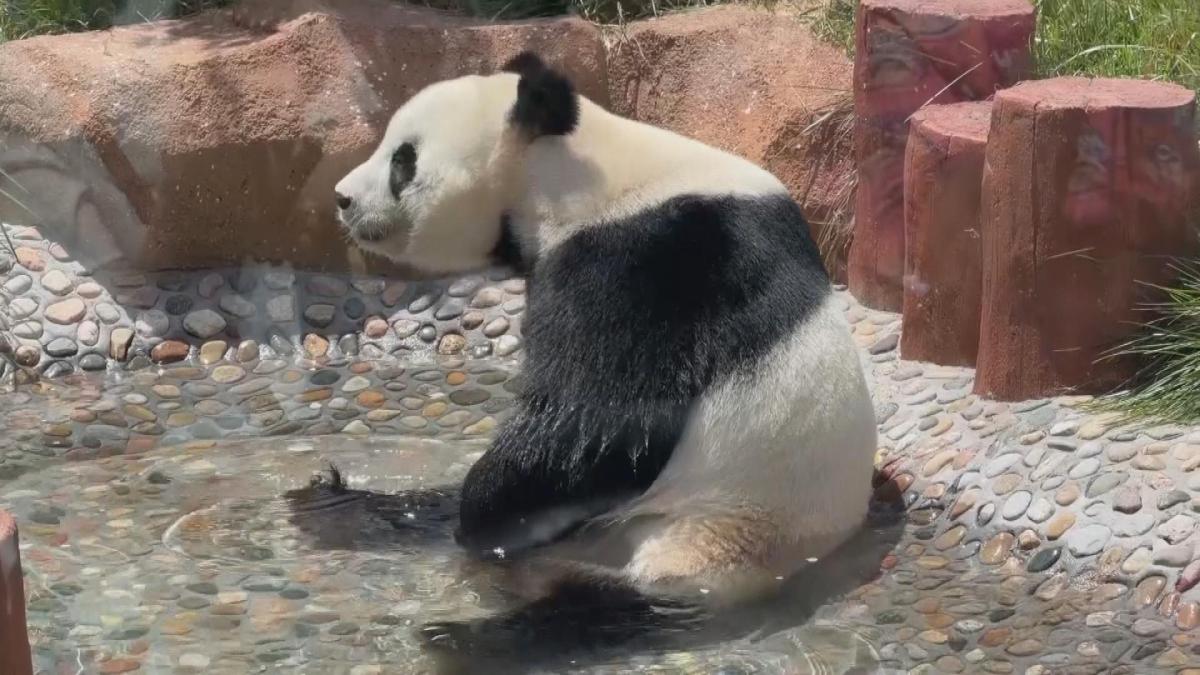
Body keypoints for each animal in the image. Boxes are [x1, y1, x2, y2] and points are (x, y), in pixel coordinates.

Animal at [333, 51, 877, 645]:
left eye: (403, 161)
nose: (342, 198)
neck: (572, 166)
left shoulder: (642, 261)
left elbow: (604, 423)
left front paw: (481, 512)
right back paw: (338, 502)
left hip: (697, 536)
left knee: (591, 607)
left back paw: (463, 635)